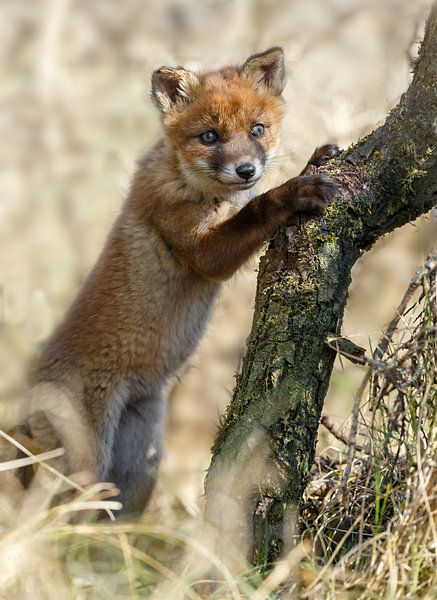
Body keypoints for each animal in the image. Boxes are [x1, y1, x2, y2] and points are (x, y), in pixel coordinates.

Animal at [17, 48, 338, 516]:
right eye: (210, 136)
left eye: (257, 129)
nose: (246, 170)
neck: (191, 185)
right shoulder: (203, 252)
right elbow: (257, 209)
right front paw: (296, 190)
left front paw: (316, 160)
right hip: (84, 468)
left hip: (138, 468)